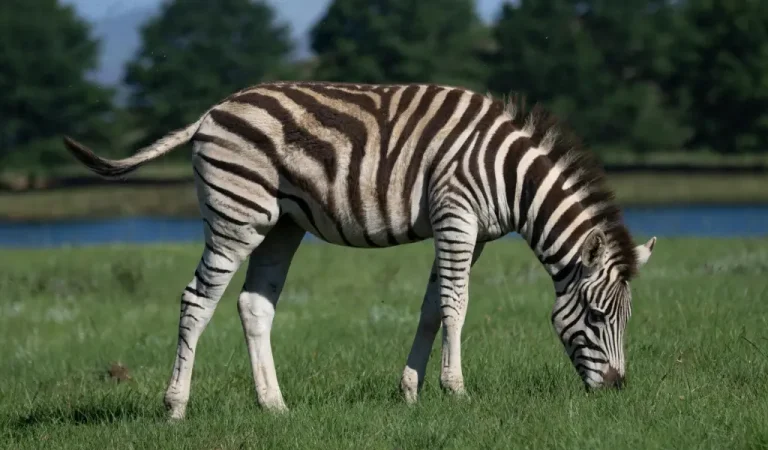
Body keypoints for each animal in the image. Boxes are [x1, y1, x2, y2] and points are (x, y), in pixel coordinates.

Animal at [62, 81, 656, 419]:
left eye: (628, 319)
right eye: (598, 315)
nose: (618, 390)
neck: (509, 176)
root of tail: (211, 112)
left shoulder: (472, 234)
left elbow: (431, 309)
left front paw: (411, 392)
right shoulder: (456, 217)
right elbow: (456, 306)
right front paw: (456, 391)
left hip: (280, 225)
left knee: (253, 306)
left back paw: (274, 406)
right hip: (237, 216)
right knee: (195, 301)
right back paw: (176, 407)